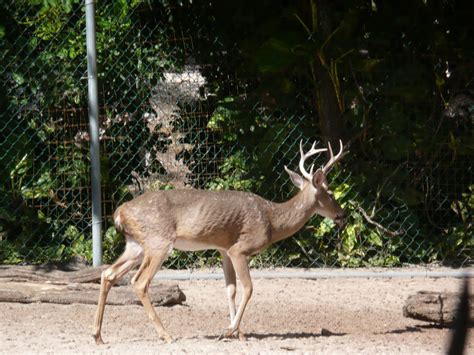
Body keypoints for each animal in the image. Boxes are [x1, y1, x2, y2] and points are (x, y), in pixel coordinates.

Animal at [91, 138, 348, 344]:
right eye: (331, 193)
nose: (342, 215)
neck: (272, 221)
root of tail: (119, 212)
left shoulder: (223, 249)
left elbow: (230, 289)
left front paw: (238, 332)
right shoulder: (239, 249)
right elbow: (249, 287)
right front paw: (229, 331)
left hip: (135, 245)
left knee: (108, 274)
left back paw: (98, 336)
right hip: (158, 241)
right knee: (139, 281)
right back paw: (166, 335)